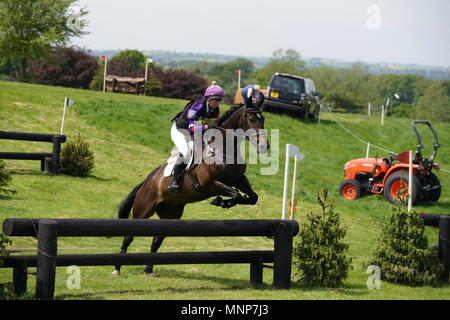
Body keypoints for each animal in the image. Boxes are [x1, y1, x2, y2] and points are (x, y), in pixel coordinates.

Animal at [112, 99, 268, 276]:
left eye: (263, 119)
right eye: (251, 118)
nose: (265, 146)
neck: (225, 148)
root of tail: (147, 181)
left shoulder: (238, 179)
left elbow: (252, 197)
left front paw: (227, 201)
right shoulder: (210, 184)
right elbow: (235, 194)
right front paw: (222, 201)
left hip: (171, 214)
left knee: (157, 240)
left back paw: (149, 269)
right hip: (143, 209)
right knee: (129, 236)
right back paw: (117, 268)